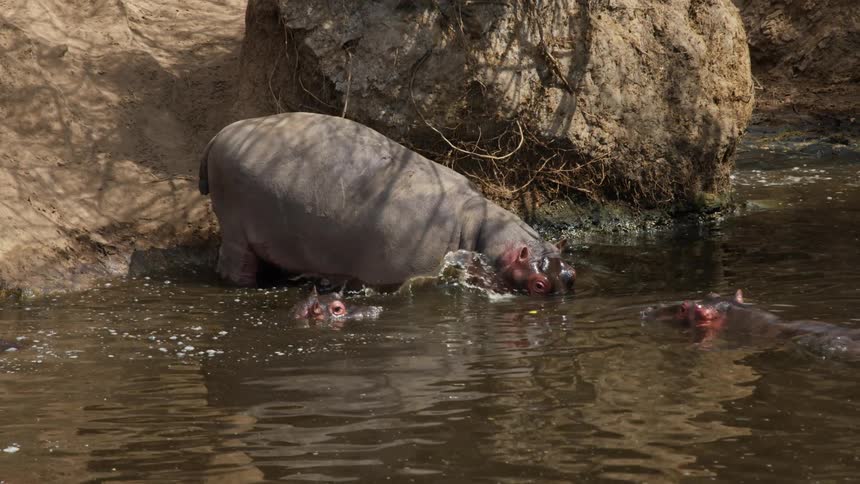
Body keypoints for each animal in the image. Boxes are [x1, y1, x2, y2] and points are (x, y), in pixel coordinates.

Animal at [199, 112, 575, 295]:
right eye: (539, 286)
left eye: (571, 276)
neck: (479, 228)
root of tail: (220, 133)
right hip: (235, 229)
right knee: (235, 265)